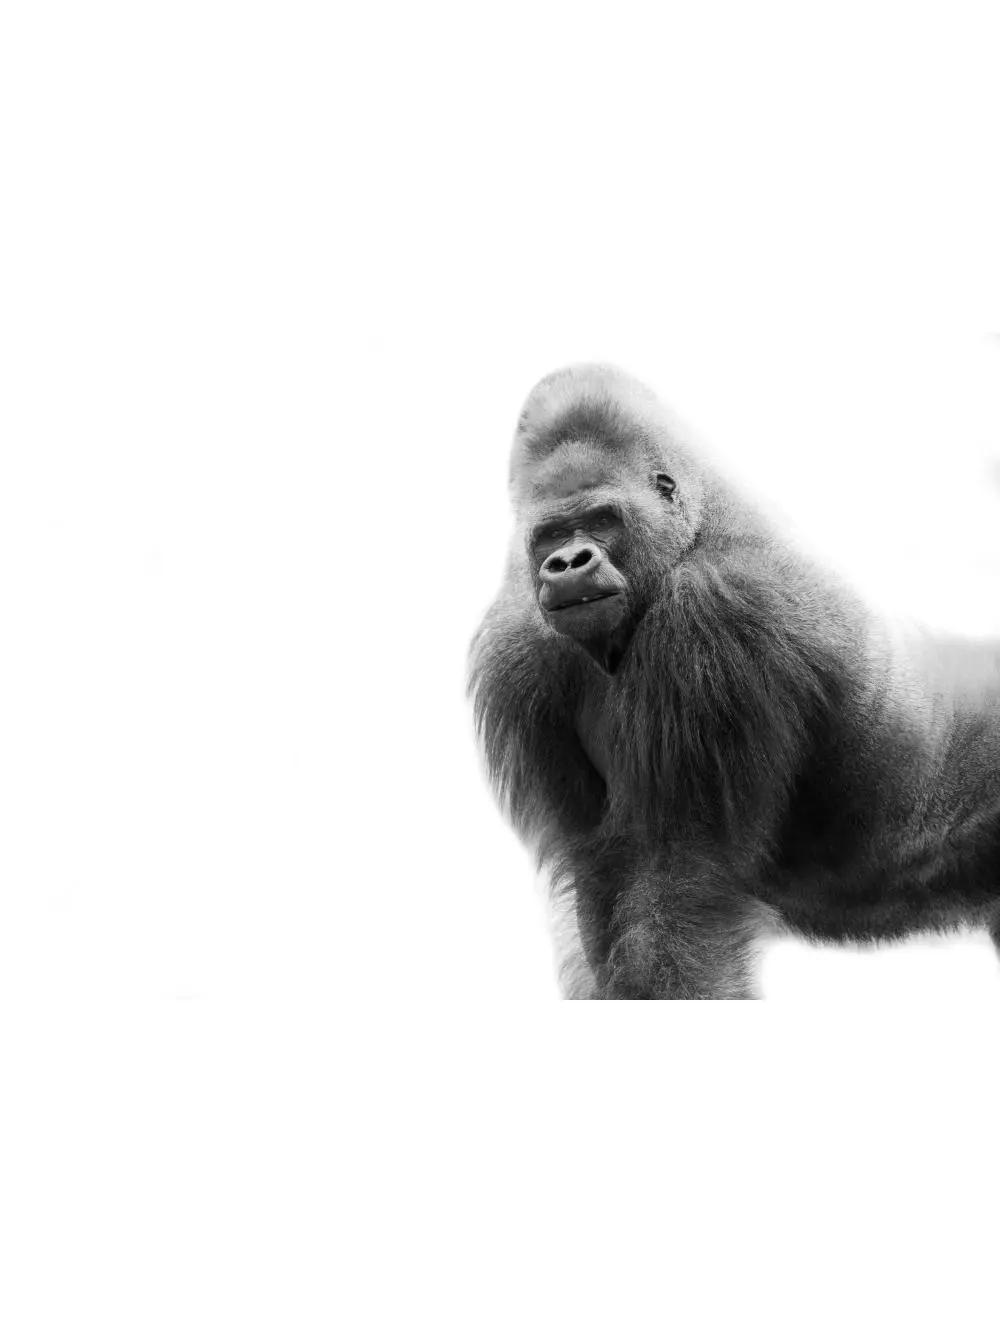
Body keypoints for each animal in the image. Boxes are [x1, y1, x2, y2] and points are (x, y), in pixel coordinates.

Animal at [468, 364, 1000, 999]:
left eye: (602, 520)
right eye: (551, 534)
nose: (570, 563)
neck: (692, 532)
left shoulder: (712, 612)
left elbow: (677, 883)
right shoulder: (519, 653)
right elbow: (601, 887)